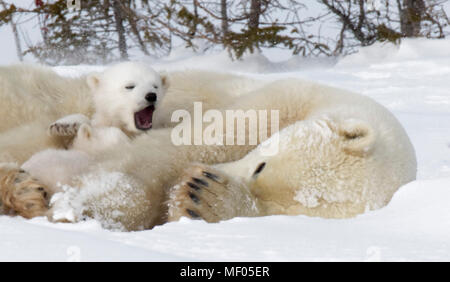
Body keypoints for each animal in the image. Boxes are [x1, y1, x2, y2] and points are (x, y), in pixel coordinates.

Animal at [0, 61, 414, 229]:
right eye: (261, 166)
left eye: (273, 213)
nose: (213, 175)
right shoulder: (283, 99)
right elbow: (184, 144)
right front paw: (85, 207)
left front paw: (202, 195)